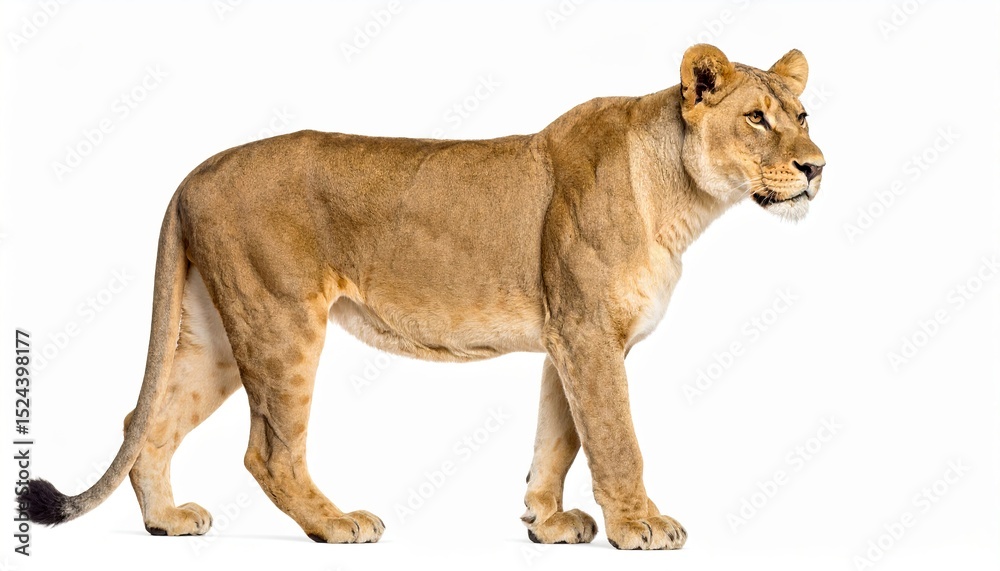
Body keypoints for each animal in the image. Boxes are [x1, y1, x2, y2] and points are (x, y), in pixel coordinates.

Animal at [23, 44, 824, 550]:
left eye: (803, 115)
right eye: (756, 117)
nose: (817, 167)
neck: (682, 198)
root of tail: (194, 171)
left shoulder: (569, 338)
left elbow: (558, 436)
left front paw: (545, 523)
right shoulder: (591, 333)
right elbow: (616, 440)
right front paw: (642, 527)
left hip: (219, 332)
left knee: (146, 422)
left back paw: (166, 521)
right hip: (280, 319)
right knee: (268, 452)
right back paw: (336, 524)